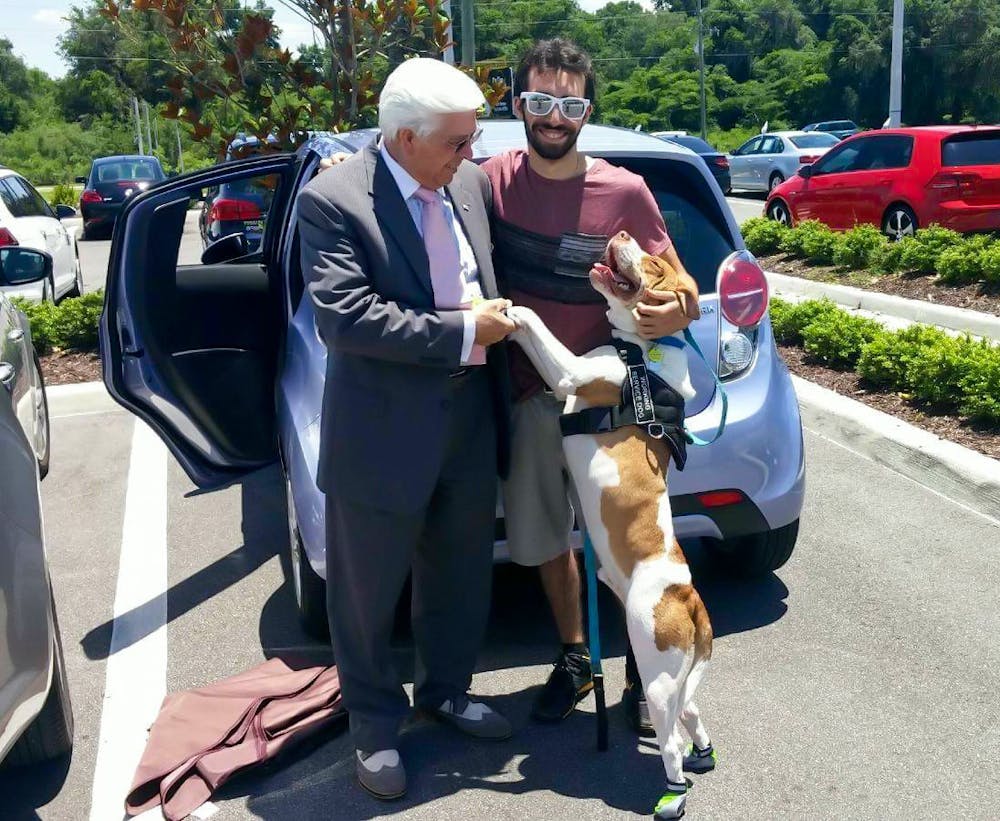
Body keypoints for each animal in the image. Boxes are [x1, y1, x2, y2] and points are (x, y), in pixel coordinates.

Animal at [512, 227, 716, 816]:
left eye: (653, 262)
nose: (622, 233)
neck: (642, 355)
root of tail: (688, 598)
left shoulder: (569, 373)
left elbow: (533, 322)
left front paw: (503, 308)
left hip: (657, 670)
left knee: (669, 739)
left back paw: (673, 793)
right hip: (676, 676)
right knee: (693, 716)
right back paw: (702, 755)